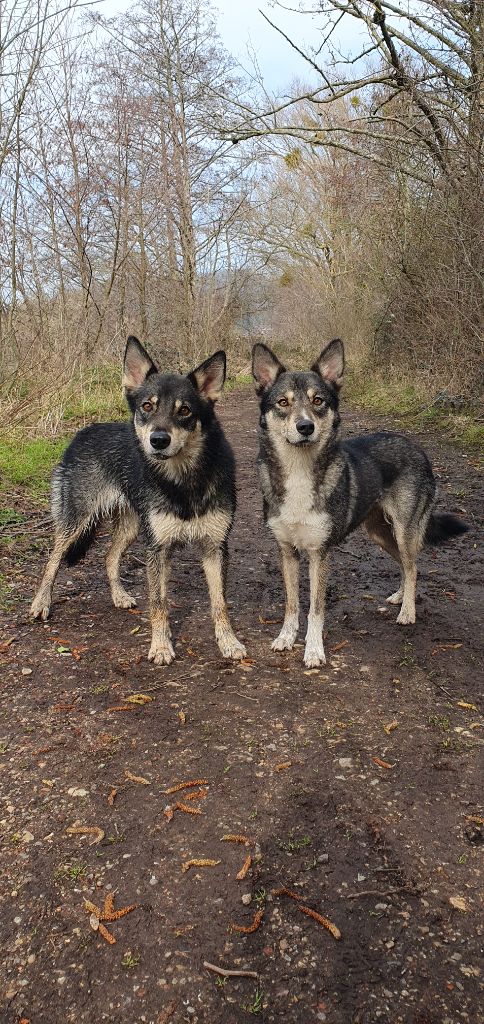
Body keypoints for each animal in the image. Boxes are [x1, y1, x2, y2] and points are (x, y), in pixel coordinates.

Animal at [31, 337, 245, 663]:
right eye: (147, 406)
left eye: (185, 411)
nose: (158, 440)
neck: (182, 480)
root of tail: (83, 432)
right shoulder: (157, 549)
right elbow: (158, 603)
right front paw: (161, 646)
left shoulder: (215, 547)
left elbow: (219, 602)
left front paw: (228, 641)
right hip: (76, 522)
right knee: (52, 559)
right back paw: (41, 603)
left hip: (131, 527)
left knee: (109, 556)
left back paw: (119, 595)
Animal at [250, 339, 466, 667]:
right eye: (283, 403)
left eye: (318, 401)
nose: (305, 427)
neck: (299, 470)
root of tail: (417, 448)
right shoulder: (287, 552)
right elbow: (291, 604)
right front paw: (286, 638)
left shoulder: (319, 554)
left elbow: (315, 610)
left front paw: (314, 650)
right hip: (379, 533)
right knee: (405, 566)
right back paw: (400, 596)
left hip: (404, 532)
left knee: (413, 566)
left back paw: (407, 611)